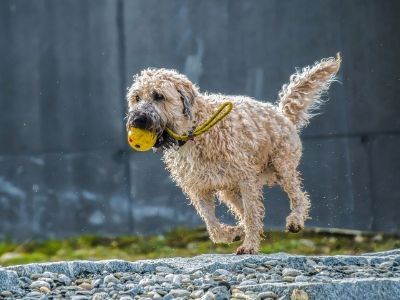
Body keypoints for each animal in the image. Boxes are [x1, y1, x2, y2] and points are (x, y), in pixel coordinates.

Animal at [125, 54, 340, 253]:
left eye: (159, 96)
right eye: (136, 98)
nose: (137, 119)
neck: (195, 131)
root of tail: (281, 114)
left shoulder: (246, 180)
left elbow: (252, 215)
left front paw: (250, 245)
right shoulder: (198, 188)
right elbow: (212, 223)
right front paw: (232, 233)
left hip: (282, 167)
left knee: (298, 196)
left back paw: (295, 220)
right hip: (229, 190)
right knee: (247, 210)